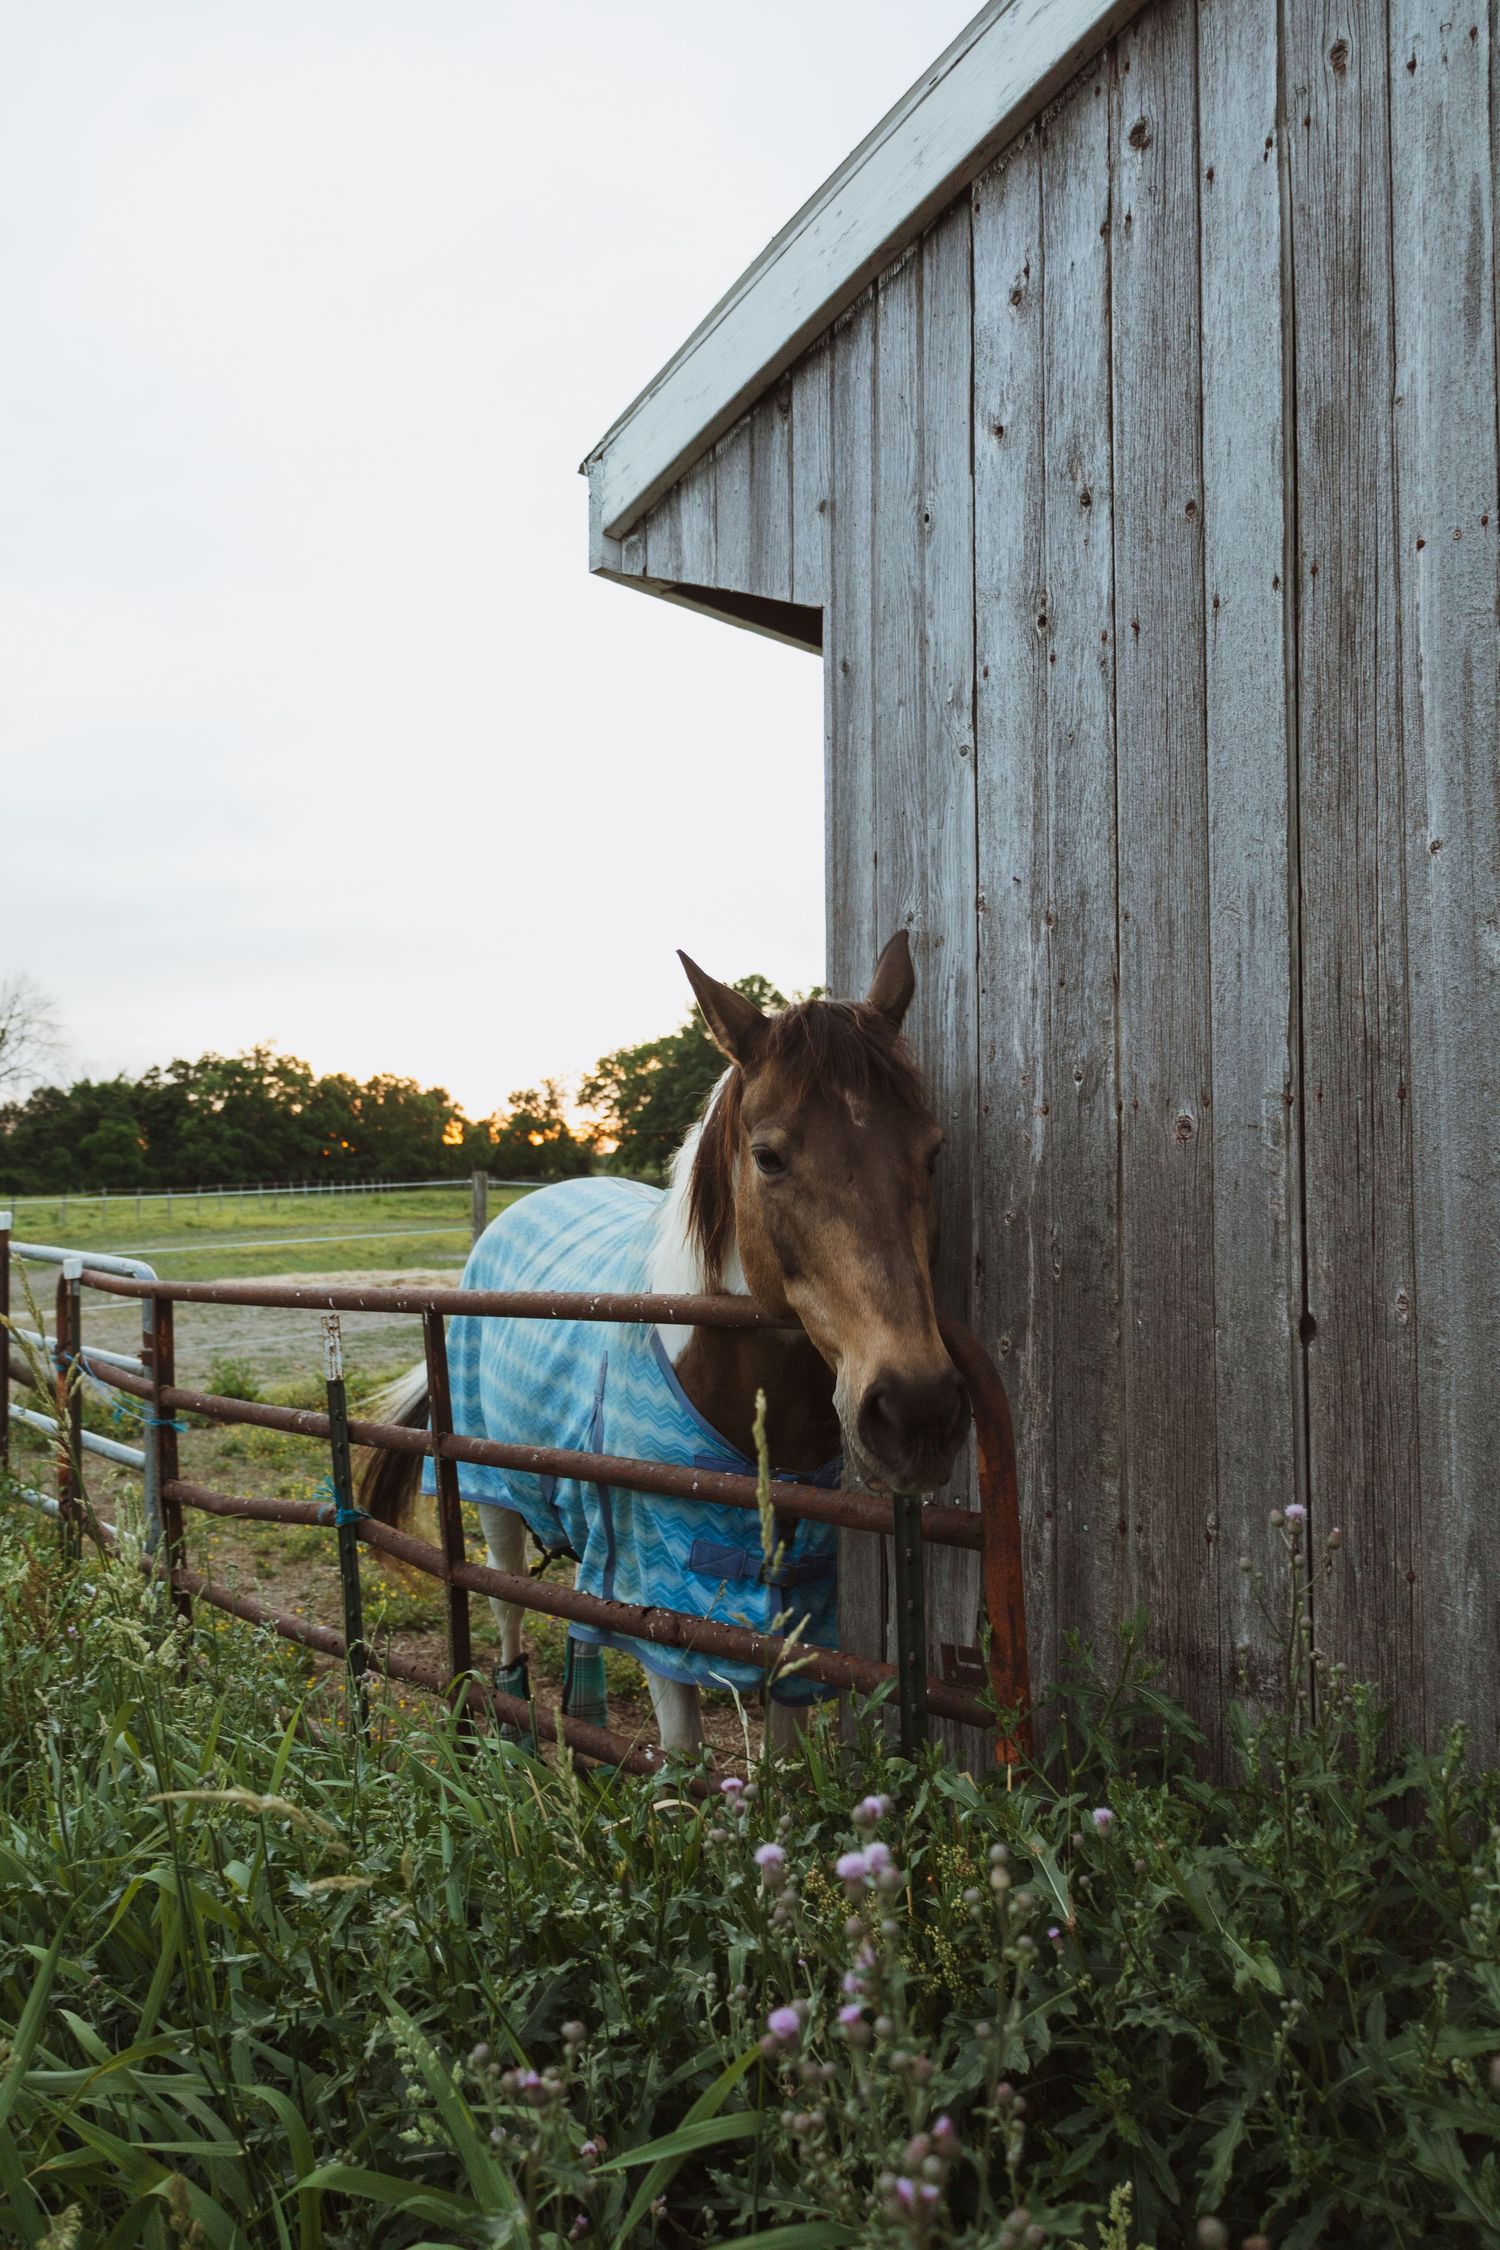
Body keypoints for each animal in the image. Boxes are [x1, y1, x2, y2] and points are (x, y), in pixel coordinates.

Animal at [358, 933, 968, 1754]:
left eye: (932, 1151)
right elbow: (682, 1755)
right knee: (506, 1604)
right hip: (491, 1495)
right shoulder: (661, 1617)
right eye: (769, 1157)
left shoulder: (797, 1615)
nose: (917, 1410)